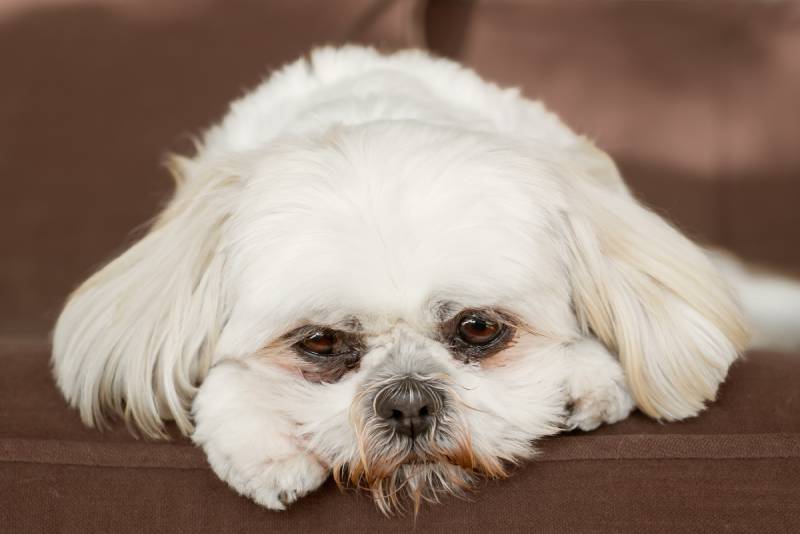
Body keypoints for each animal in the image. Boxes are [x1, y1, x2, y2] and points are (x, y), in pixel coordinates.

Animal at [51, 46, 800, 516]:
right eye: (319, 343)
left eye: (478, 327)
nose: (408, 402)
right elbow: (222, 385)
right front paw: (268, 449)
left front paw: (586, 381)